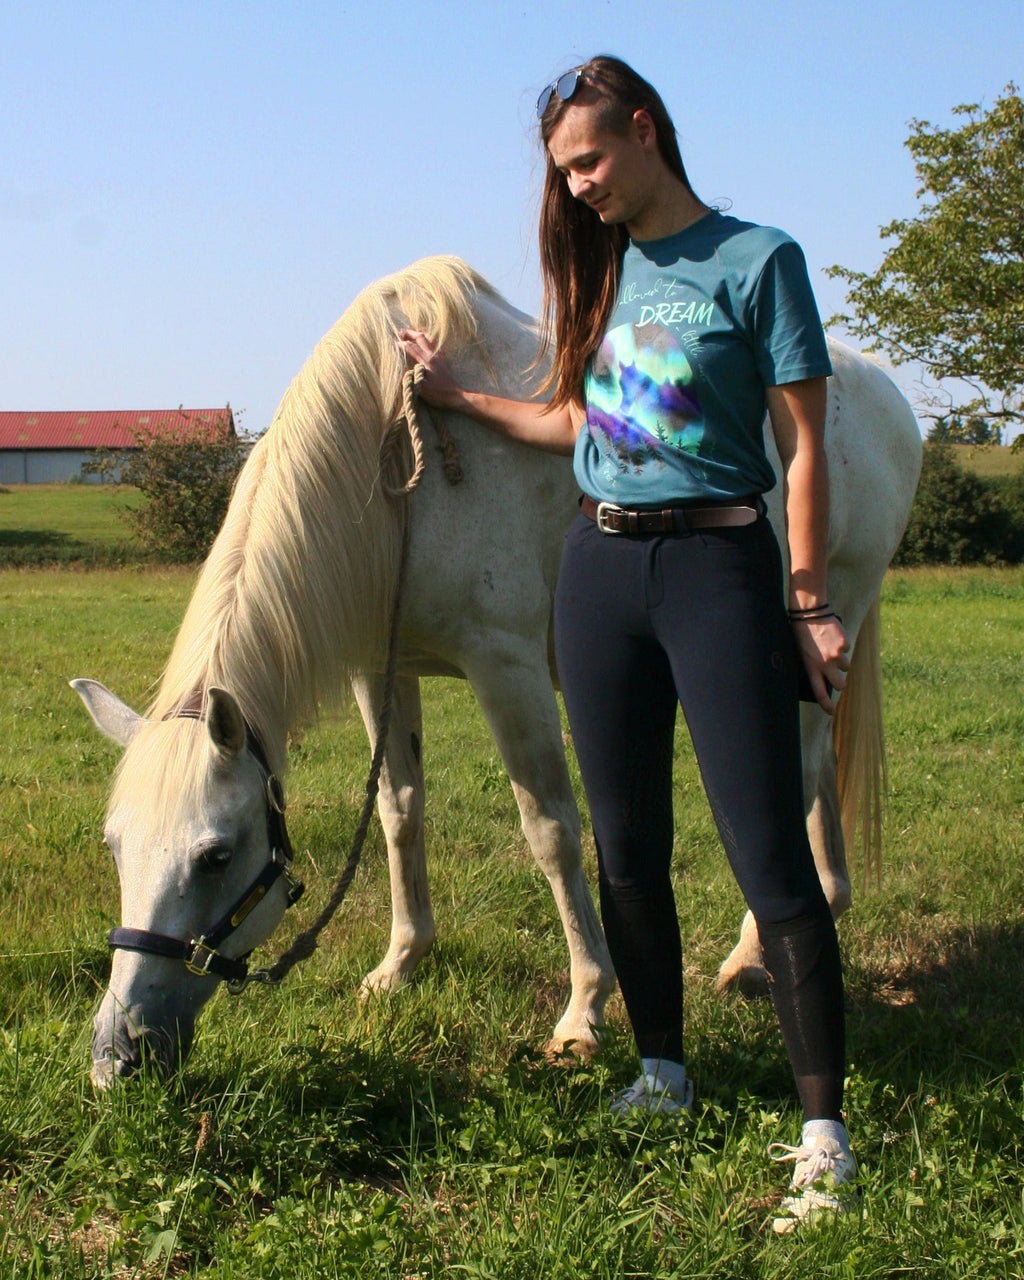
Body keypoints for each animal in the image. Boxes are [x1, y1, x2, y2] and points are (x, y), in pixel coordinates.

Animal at [72, 256, 921, 1086]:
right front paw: (400, 964)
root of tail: (884, 393)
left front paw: (584, 1011)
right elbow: (400, 811)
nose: (120, 1054)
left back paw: (750, 956)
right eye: (113, 846)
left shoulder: (504, 666)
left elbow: (551, 830)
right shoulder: (381, 671)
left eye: (216, 855)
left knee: (798, 776)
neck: (395, 457)